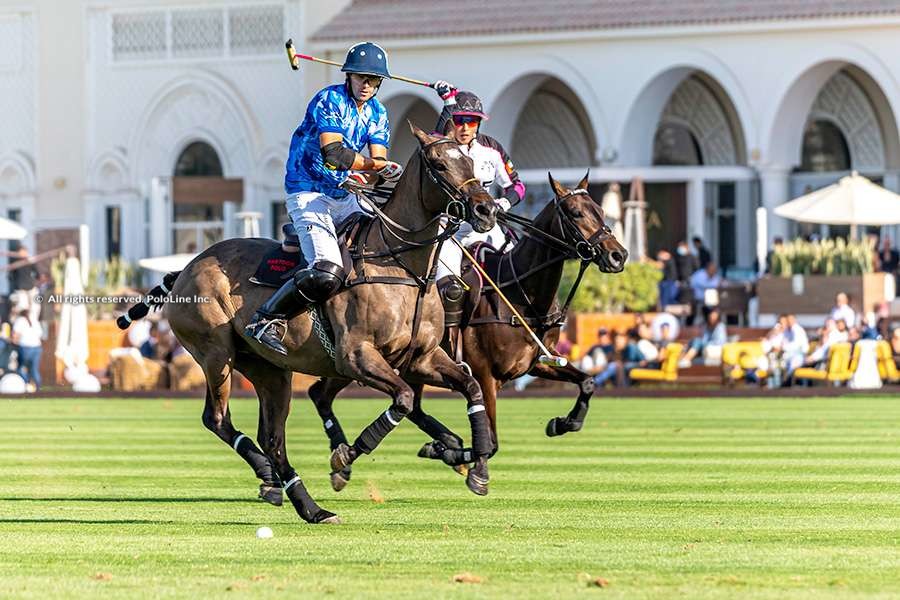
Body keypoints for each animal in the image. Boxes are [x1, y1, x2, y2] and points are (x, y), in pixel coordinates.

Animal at [118, 124, 500, 524]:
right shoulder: (357, 357)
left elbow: (471, 387)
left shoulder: (421, 358)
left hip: (268, 369)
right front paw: (344, 457)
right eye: (439, 165)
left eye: (471, 160)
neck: (402, 268)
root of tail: (186, 268)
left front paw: (474, 461)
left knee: (272, 436)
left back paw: (306, 503)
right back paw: (276, 478)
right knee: (218, 418)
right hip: (215, 354)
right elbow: (404, 400)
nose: (486, 209)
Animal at [302, 171, 624, 490]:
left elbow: (587, 382)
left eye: (601, 211)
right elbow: (492, 442)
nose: (618, 255)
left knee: (364, 399)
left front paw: (562, 423)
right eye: (576, 212)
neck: (520, 294)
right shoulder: (485, 373)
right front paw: (468, 464)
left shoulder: (536, 363)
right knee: (323, 393)